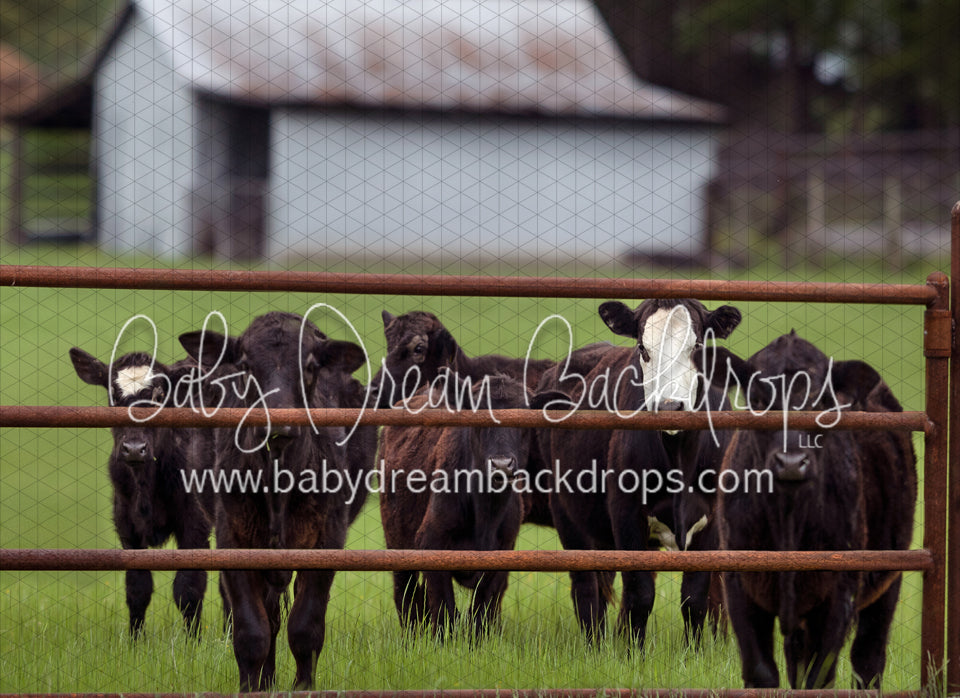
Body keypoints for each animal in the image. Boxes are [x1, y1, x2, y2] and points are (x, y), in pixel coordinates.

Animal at [69, 348, 211, 637]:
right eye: (114, 394)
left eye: (160, 394)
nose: (134, 448)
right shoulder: (126, 523)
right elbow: (137, 588)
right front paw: (135, 641)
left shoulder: (196, 522)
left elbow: (188, 587)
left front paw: (193, 642)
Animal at [178, 311, 366, 691]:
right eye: (245, 365)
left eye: (310, 366)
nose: (278, 424)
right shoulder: (234, 540)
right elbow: (253, 630)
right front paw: (252, 687)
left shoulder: (327, 539)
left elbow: (306, 626)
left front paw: (303, 687)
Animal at [378, 372, 568, 638]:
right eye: (478, 414)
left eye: (524, 415)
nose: (501, 464)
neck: (486, 512)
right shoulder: (431, 544)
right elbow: (445, 610)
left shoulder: (502, 553)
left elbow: (481, 611)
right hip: (397, 542)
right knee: (406, 595)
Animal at [537, 298, 742, 648]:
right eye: (643, 348)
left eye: (697, 346)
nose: (670, 407)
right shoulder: (627, 514)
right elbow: (640, 594)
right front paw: (633, 653)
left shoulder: (712, 519)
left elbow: (695, 597)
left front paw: (692, 652)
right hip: (567, 514)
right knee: (586, 588)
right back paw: (595, 646)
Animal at [708, 331, 916, 689]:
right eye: (758, 400)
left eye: (820, 402)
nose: (791, 462)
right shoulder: (739, 584)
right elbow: (761, 671)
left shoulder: (838, 593)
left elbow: (820, 675)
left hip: (888, 579)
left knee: (868, 659)